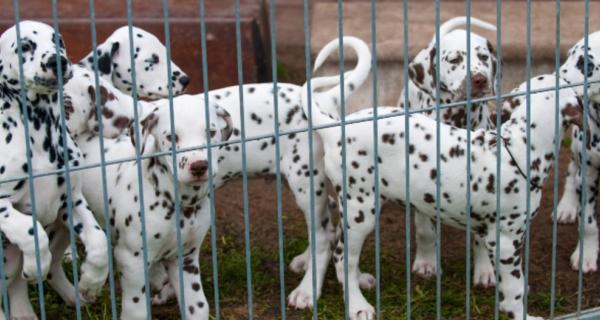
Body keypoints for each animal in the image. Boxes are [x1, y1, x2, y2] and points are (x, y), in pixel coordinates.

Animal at [0, 21, 108, 318]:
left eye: (58, 41)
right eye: (24, 46)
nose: (57, 61)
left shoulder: (71, 200)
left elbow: (99, 241)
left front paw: (91, 282)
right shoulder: (3, 205)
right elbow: (30, 230)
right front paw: (37, 262)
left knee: (18, 284)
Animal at [74, 95, 232, 320]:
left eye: (211, 132)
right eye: (172, 137)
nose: (199, 166)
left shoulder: (186, 259)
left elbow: (198, 306)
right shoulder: (132, 260)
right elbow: (137, 310)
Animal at [302, 73, 584, 320]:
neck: (516, 148)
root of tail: (334, 130)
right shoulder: (505, 241)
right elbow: (514, 288)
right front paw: (520, 313)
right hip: (361, 211)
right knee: (342, 258)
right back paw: (357, 306)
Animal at [398, 15, 502, 288]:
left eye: (484, 57)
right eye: (454, 60)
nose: (480, 80)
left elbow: (481, 237)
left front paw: (485, 270)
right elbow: (425, 230)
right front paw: (426, 264)